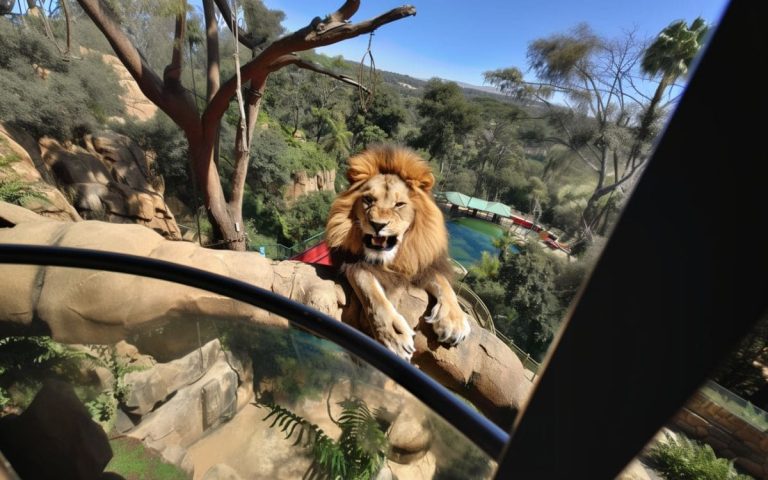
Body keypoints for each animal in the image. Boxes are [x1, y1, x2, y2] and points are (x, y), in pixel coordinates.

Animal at [324, 145, 468, 360]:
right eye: (368, 200)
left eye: (399, 205)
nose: (377, 225)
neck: (392, 259)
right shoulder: (352, 263)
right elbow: (370, 290)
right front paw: (394, 336)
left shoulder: (420, 266)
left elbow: (443, 283)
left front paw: (454, 320)